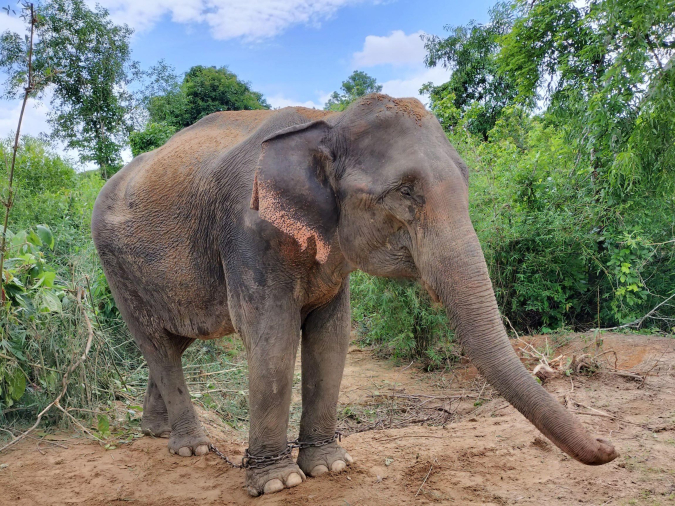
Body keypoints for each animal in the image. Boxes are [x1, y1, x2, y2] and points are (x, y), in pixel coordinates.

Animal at [92, 93, 620, 496]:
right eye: (405, 191)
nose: (612, 449)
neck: (326, 121)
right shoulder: (247, 233)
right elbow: (271, 336)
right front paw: (279, 484)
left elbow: (332, 335)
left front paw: (329, 467)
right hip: (115, 264)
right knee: (157, 344)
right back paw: (191, 448)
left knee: (172, 343)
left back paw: (157, 433)